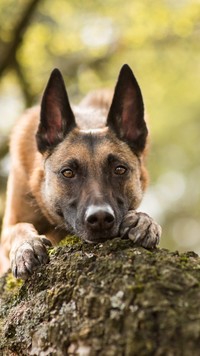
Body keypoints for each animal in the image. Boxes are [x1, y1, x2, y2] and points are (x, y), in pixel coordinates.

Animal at [0, 65, 162, 280]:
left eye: (119, 169)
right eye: (68, 173)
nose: (100, 218)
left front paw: (144, 220)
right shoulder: (9, 226)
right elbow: (17, 229)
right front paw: (26, 245)